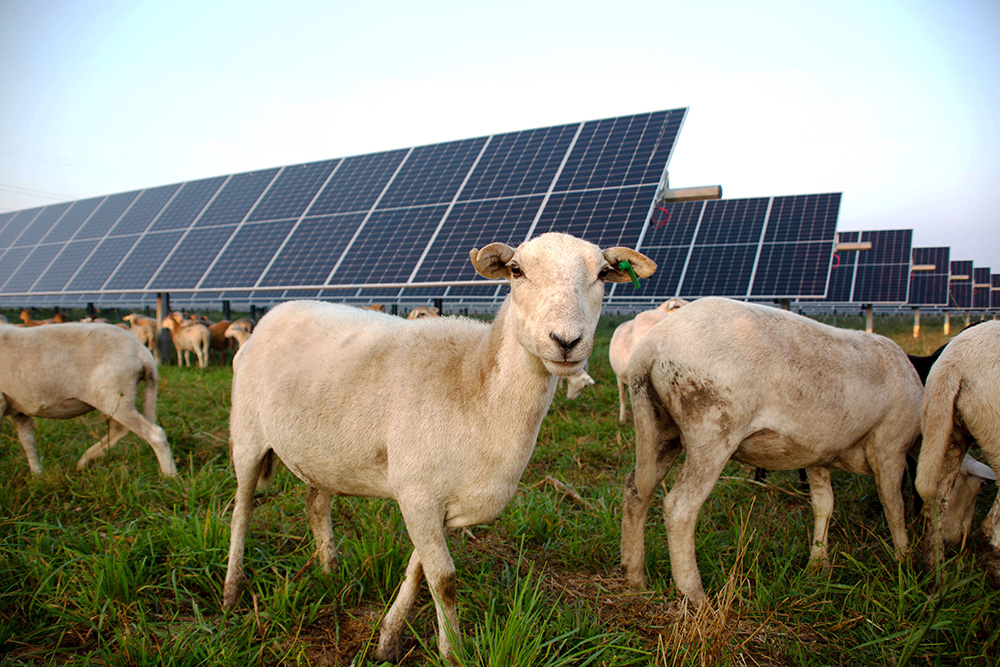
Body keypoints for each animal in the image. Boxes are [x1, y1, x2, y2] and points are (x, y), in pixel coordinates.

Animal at [0, 323, 177, 476]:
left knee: (154, 434)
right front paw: (37, 475)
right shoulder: (20, 408)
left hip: (113, 394)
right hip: (114, 398)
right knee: (118, 430)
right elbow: (27, 442)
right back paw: (83, 461)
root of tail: (141, 351)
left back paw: (170, 476)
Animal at [222, 232, 655, 661]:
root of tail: (272, 316)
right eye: (516, 271)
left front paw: (387, 640)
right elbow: (444, 579)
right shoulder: (416, 494)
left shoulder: (443, 504)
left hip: (323, 455)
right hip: (246, 434)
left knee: (315, 503)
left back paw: (329, 569)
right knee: (241, 510)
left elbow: (420, 570)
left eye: (603, 273)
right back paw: (232, 590)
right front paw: (453, 653)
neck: (475, 383)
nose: (566, 341)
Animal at [620, 297, 923, 605]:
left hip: (661, 428)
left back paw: (635, 576)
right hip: (712, 429)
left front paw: (818, 563)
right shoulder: (890, 447)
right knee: (680, 507)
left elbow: (824, 505)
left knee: (636, 490)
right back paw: (694, 595)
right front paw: (904, 563)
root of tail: (651, 346)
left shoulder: (817, 453)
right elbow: (893, 505)